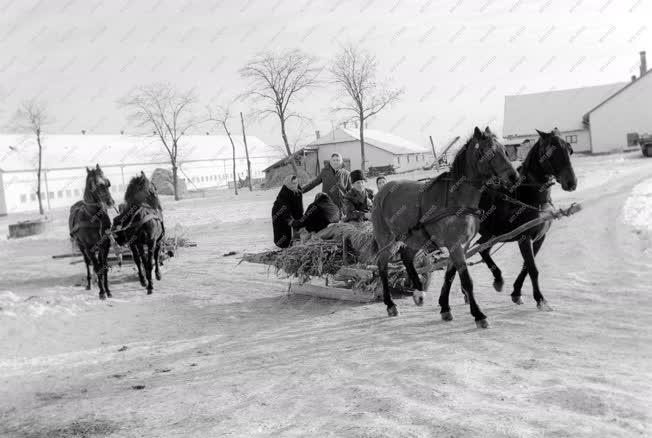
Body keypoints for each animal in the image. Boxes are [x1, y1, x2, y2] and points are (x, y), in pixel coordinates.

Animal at [69, 165, 116, 302]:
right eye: (96, 185)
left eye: (107, 183)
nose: (110, 202)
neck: (95, 218)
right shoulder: (89, 247)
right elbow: (96, 267)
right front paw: (101, 292)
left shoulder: (105, 245)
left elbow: (103, 266)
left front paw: (108, 290)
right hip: (81, 246)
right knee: (87, 263)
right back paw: (89, 284)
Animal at [372, 126, 520, 328]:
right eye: (488, 152)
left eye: (505, 150)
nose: (514, 177)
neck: (458, 199)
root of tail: (382, 191)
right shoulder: (454, 245)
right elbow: (466, 280)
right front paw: (479, 315)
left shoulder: (461, 245)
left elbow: (449, 275)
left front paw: (445, 308)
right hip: (388, 239)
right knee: (382, 265)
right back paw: (390, 304)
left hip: (414, 238)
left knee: (407, 257)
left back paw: (418, 292)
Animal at [460, 128, 580, 310]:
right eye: (550, 152)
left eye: (570, 149)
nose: (571, 183)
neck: (529, 196)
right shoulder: (524, 238)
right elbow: (532, 268)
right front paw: (540, 299)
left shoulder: (539, 237)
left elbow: (526, 266)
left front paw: (516, 293)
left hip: (491, 233)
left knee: (481, 250)